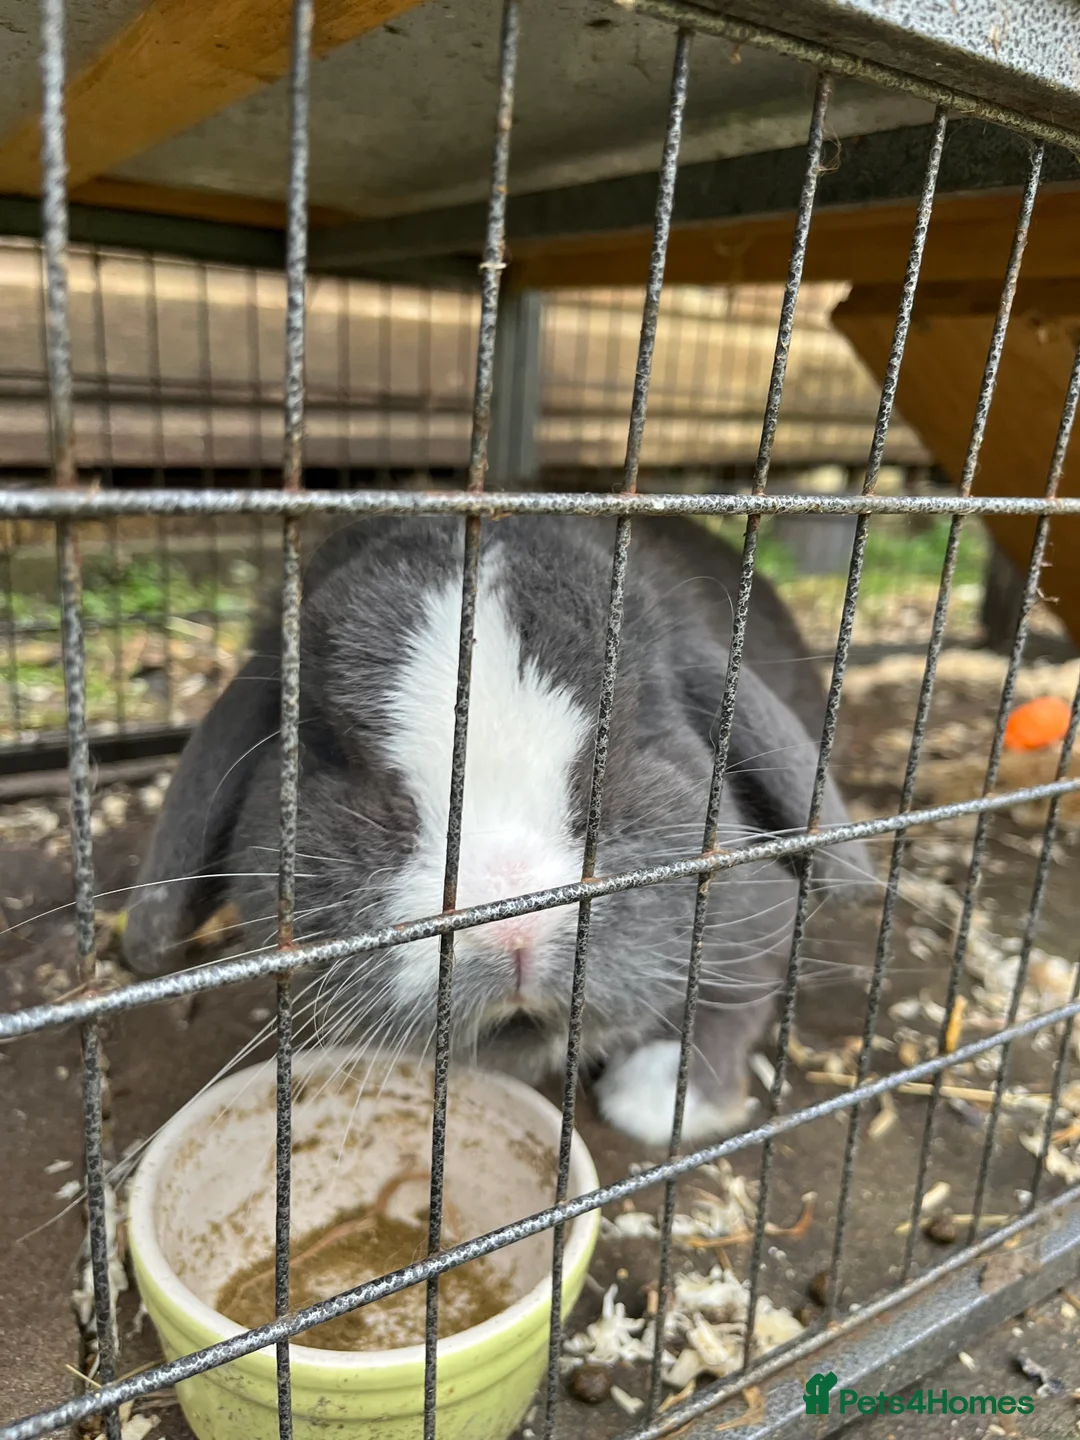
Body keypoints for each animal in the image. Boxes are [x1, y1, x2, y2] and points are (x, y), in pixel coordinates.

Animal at [122, 514, 873, 1148]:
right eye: (332, 748)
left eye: (635, 732)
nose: (514, 928)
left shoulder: (762, 913)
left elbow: (739, 995)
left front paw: (660, 1104)